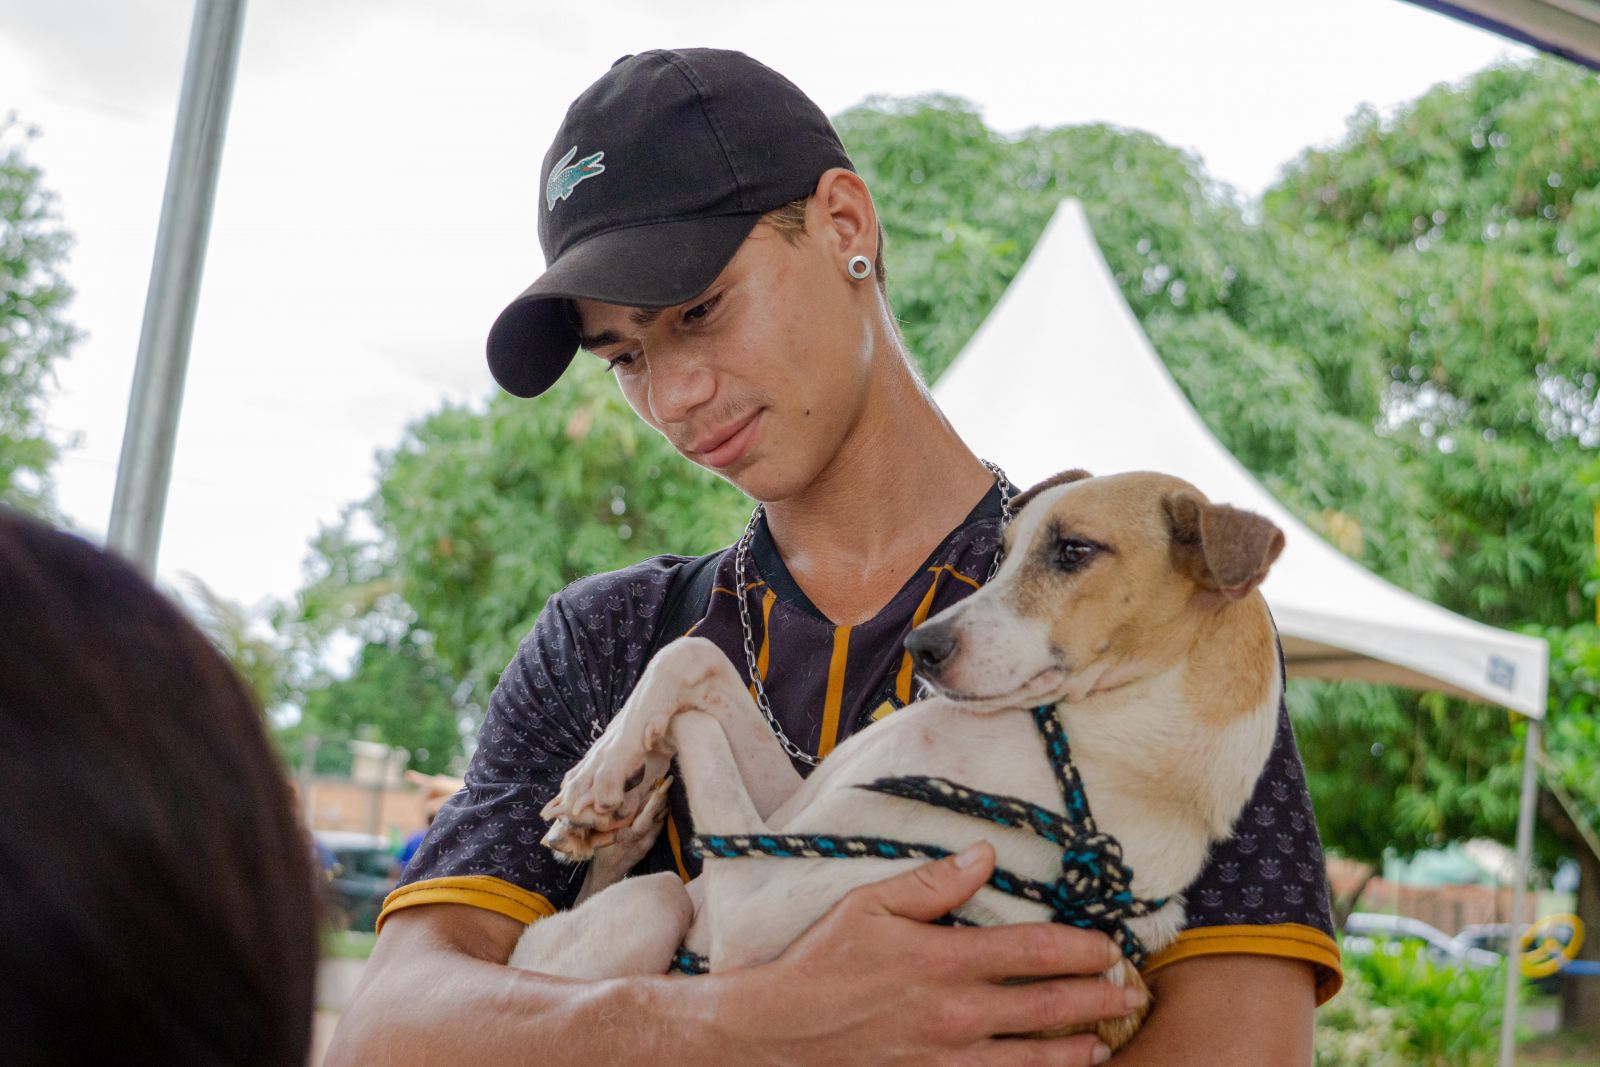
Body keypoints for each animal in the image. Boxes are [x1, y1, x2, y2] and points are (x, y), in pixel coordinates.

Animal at [512, 470, 1286, 1049]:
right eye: (1006, 550)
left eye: (1075, 551)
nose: (924, 646)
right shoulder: (790, 801)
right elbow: (694, 655)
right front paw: (603, 773)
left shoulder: (750, 907)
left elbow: (695, 707)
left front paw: (609, 776)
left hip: (657, 906)